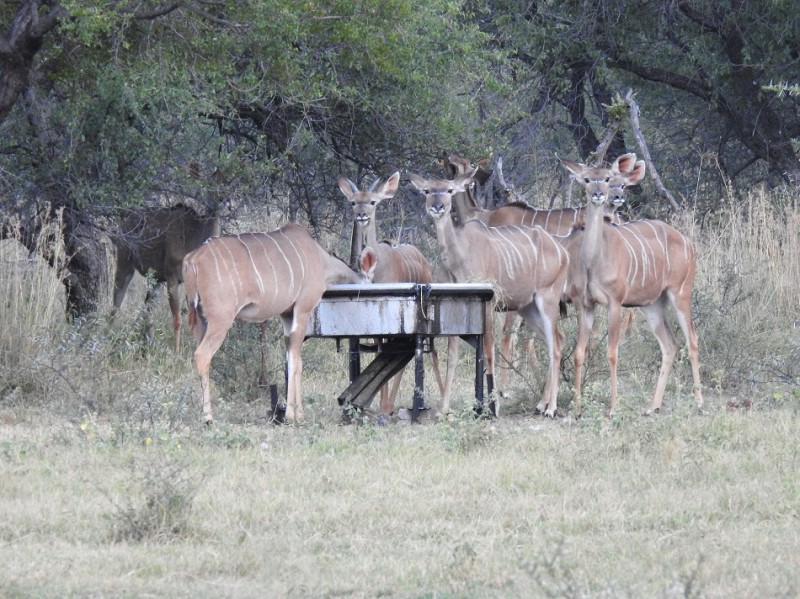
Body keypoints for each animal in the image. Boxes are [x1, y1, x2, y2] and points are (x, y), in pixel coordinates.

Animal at [113, 200, 226, 352]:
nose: (220, 202)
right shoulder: (172, 278)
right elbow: (177, 319)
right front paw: (176, 353)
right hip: (125, 265)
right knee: (116, 303)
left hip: (156, 280)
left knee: (147, 309)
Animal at [183, 223, 377, 424]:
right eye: (372, 280)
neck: (322, 261)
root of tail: (192, 260)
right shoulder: (303, 309)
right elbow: (295, 361)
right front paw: (292, 415)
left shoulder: (286, 316)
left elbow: (294, 360)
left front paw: (299, 413)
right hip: (221, 319)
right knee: (202, 355)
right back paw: (208, 417)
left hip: (201, 322)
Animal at [338, 172, 443, 414]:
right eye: (353, 202)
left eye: (373, 202)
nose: (362, 216)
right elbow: (380, 353)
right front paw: (380, 404)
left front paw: (384, 405)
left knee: (430, 351)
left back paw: (442, 400)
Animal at [408, 169, 570, 417]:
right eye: (427, 190)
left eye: (449, 190)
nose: (437, 207)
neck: (460, 256)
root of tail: (563, 252)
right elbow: (452, 355)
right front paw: (443, 410)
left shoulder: (490, 305)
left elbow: (488, 352)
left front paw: (494, 406)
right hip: (528, 308)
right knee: (557, 340)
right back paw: (541, 404)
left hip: (547, 300)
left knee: (555, 344)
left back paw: (551, 408)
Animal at [560, 154, 703, 416]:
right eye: (587, 179)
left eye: (607, 178)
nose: (599, 194)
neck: (594, 260)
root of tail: (687, 243)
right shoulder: (585, 305)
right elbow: (578, 352)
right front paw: (575, 410)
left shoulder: (614, 303)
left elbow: (612, 353)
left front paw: (613, 407)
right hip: (652, 305)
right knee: (670, 345)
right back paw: (652, 407)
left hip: (680, 293)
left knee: (692, 340)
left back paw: (699, 401)